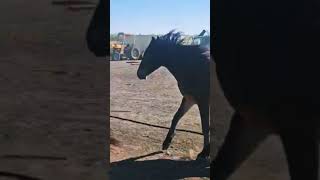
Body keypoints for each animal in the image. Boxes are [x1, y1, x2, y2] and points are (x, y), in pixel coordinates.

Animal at [136, 30, 211, 159]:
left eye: (150, 53)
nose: (139, 74)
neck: (194, 67)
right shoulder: (189, 99)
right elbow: (176, 117)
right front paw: (166, 143)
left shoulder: (203, 102)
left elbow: (205, 127)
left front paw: (205, 153)